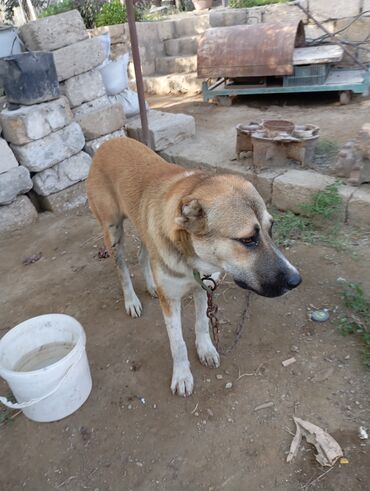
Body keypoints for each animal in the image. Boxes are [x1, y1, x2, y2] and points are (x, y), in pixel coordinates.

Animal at [86, 137, 300, 396]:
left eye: (271, 229)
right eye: (248, 239)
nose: (296, 280)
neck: (192, 259)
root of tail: (109, 142)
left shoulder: (204, 287)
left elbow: (202, 323)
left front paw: (206, 350)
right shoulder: (171, 301)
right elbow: (177, 343)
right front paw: (181, 375)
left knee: (142, 255)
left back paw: (151, 286)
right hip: (112, 232)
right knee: (122, 270)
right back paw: (131, 301)